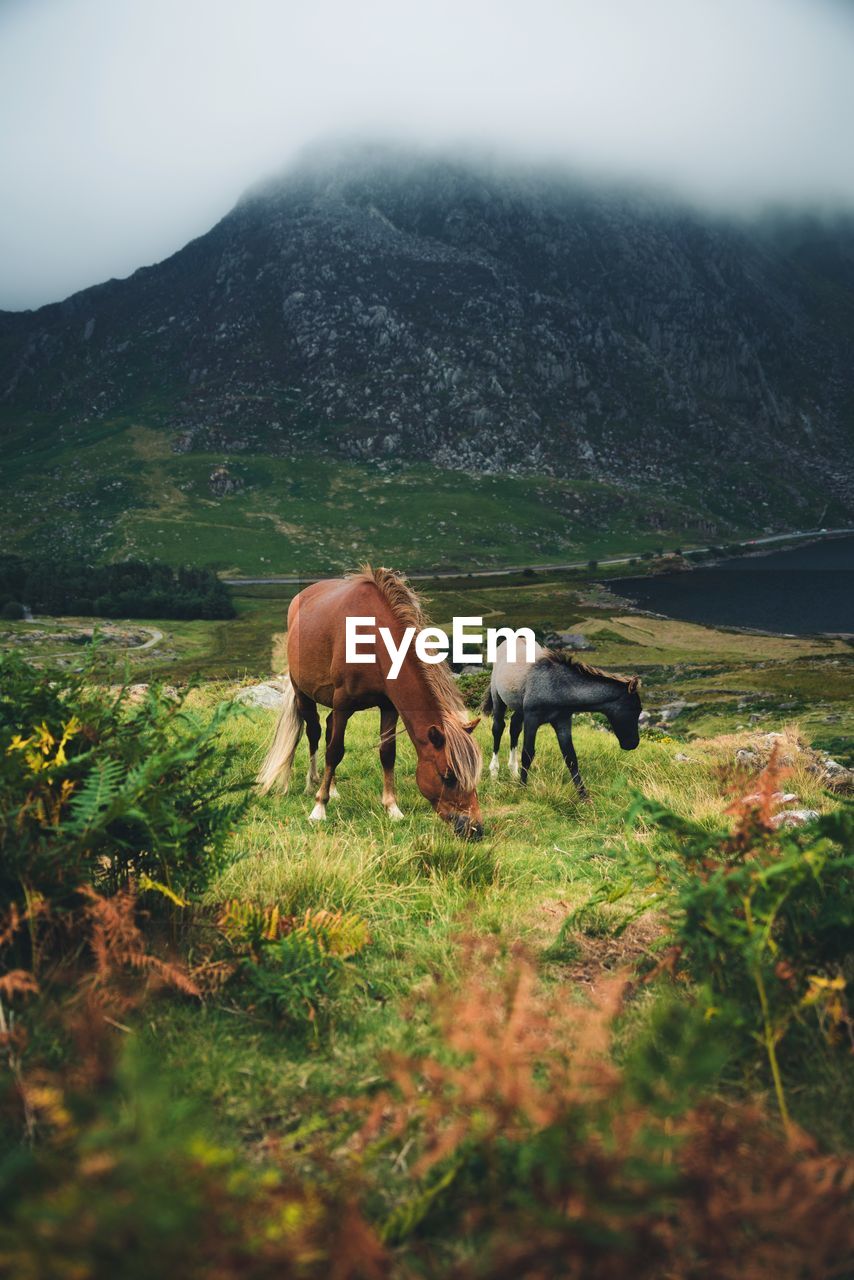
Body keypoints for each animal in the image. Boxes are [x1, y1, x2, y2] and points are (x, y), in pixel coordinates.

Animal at [253, 570, 483, 839]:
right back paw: (313, 783)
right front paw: (319, 808)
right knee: (314, 732)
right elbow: (335, 751)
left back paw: (333, 788)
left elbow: (387, 753)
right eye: (447, 776)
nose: (475, 828)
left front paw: (392, 808)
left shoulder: (388, 707)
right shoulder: (343, 704)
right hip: (304, 694)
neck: (372, 639)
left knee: (328, 728)